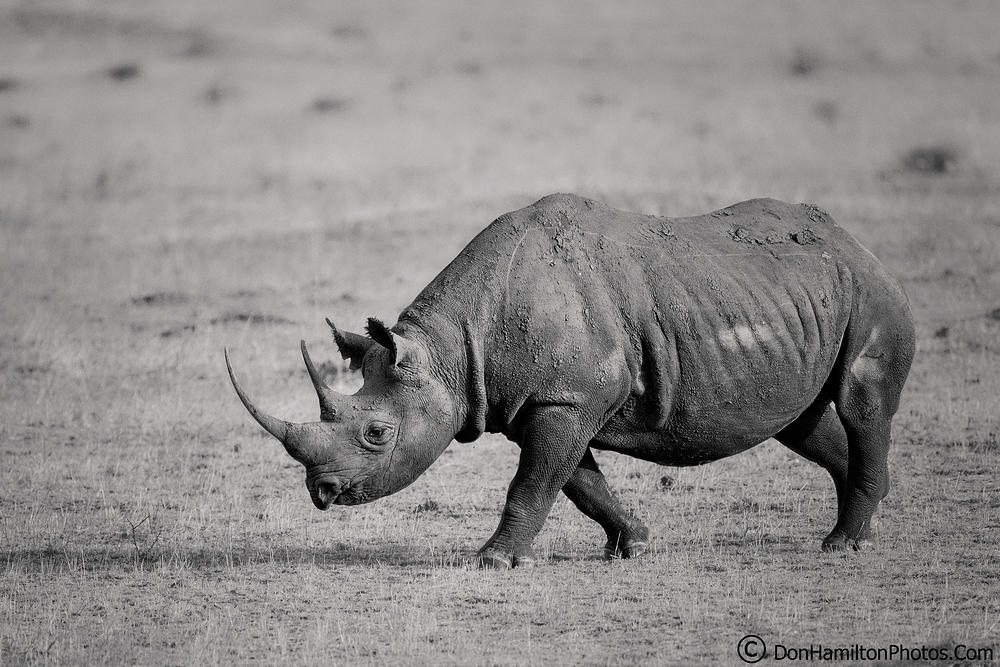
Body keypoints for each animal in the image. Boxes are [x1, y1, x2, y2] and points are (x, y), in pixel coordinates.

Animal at [226, 194, 915, 568]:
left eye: (375, 433)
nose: (322, 494)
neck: (452, 350)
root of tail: (856, 243)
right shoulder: (555, 401)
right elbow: (578, 482)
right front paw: (633, 544)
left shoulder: (566, 399)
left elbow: (532, 484)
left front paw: (493, 561)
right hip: (798, 299)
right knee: (802, 423)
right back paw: (857, 528)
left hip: (868, 291)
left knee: (860, 404)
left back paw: (845, 546)